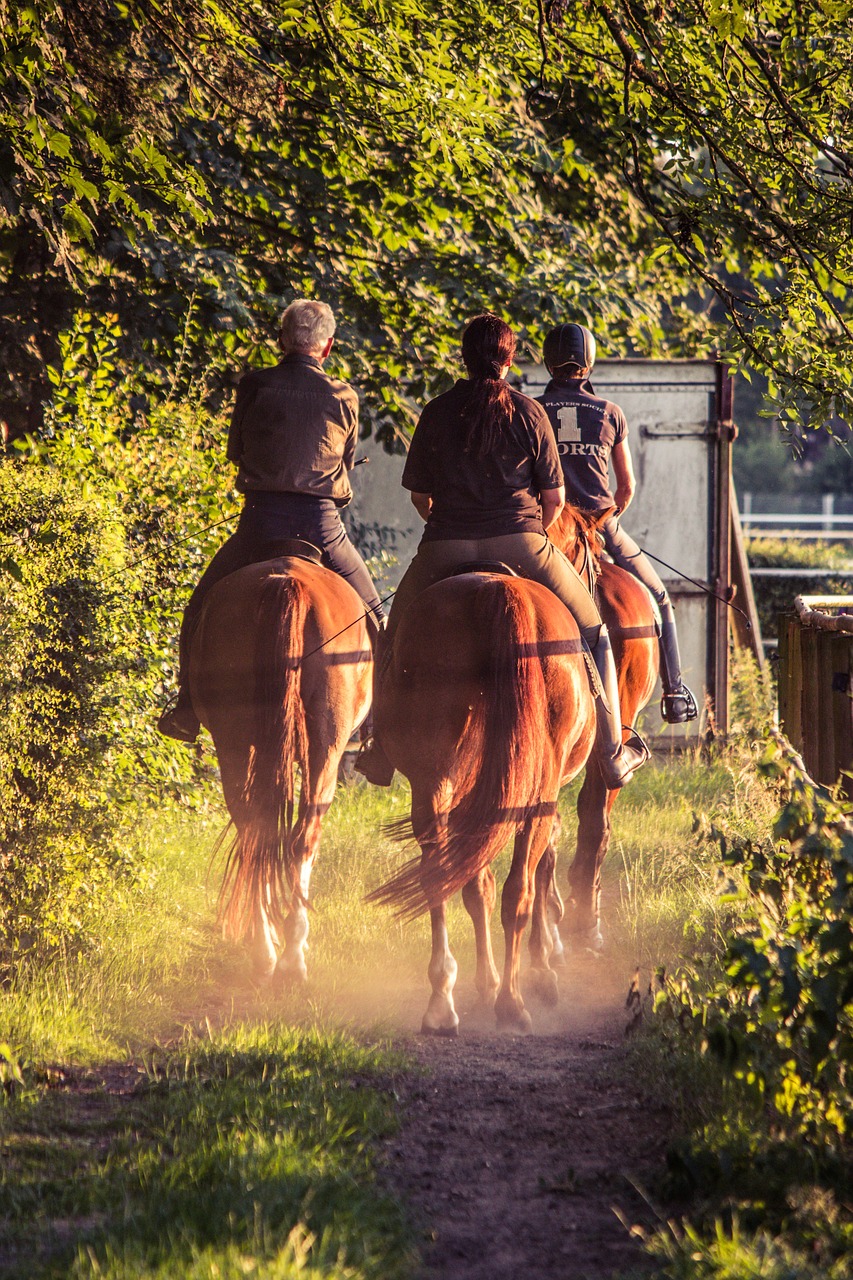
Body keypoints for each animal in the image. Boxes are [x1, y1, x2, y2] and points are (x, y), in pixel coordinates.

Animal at [189, 555, 368, 983]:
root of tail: (288, 583)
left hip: (235, 742)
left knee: (256, 832)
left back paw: (266, 951)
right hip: (325, 748)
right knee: (302, 836)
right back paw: (290, 956)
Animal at [363, 570, 591, 1029]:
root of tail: (498, 590)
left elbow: (475, 887)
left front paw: (488, 980)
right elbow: (531, 874)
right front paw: (539, 970)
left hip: (435, 787)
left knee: (440, 876)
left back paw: (441, 1001)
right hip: (534, 798)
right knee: (518, 890)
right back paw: (511, 1001)